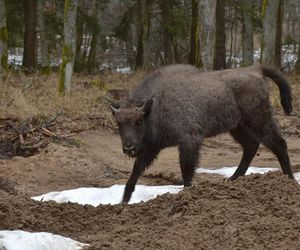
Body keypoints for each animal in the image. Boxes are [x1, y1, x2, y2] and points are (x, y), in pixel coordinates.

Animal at [107, 63, 292, 202]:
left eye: (139, 121)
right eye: (118, 123)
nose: (129, 148)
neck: (154, 106)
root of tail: (256, 69)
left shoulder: (189, 140)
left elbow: (187, 169)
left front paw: (187, 193)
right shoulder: (152, 147)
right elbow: (137, 168)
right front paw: (124, 200)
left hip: (258, 121)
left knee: (278, 144)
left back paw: (289, 180)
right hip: (237, 127)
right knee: (251, 146)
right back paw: (232, 179)